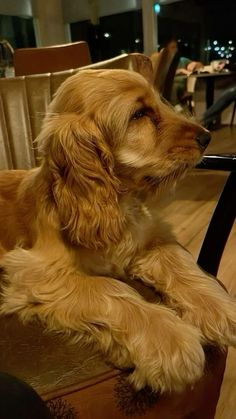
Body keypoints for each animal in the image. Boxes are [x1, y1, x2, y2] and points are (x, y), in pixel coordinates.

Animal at [0, 69, 235, 394]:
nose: (206, 136)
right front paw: (168, 339)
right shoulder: (32, 271)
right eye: (139, 114)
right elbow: (107, 287)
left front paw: (217, 307)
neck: (117, 201)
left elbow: (178, 263)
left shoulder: (150, 241)